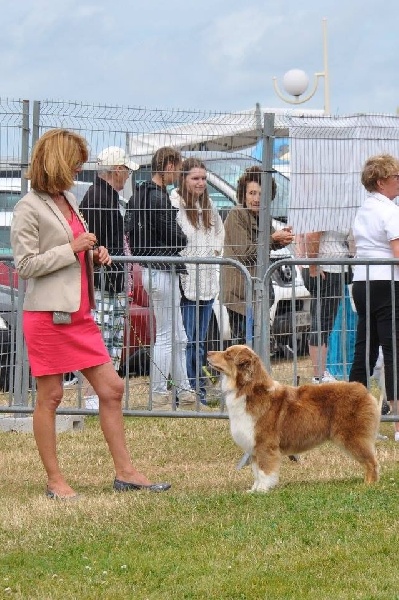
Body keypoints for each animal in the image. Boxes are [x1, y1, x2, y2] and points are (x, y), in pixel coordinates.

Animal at [208, 342, 382, 492]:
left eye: (228, 355)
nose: (208, 353)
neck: (247, 389)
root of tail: (364, 390)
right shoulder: (254, 446)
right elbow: (256, 471)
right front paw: (253, 490)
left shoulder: (265, 444)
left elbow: (264, 470)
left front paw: (263, 490)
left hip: (353, 437)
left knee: (371, 462)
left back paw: (368, 485)